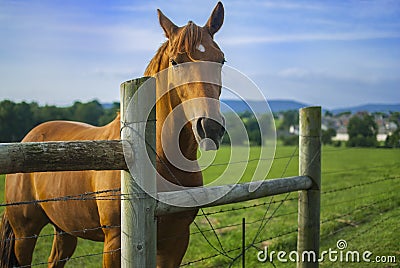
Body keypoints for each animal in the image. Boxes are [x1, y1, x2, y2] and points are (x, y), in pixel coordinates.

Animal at [0, 2, 225, 268]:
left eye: (221, 61)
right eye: (175, 61)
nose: (210, 127)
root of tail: (28, 138)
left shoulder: (177, 240)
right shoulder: (115, 244)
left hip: (64, 229)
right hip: (25, 234)